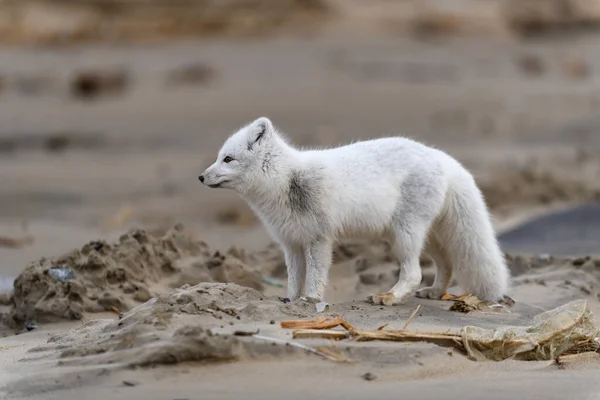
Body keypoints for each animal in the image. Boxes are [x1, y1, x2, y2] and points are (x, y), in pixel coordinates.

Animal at [200, 117, 510, 304]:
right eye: (219, 157)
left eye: (228, 159)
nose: (201, 177)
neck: (286, 181)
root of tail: (441, 157)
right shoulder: (291, 243)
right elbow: (293, 279)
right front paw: (291, 300)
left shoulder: (319, 239)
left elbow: (315, 276)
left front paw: (310, 301)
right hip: (424, 236)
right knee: (446, 263)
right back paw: (435, 292)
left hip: (405, 235)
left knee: (413, 273)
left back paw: (390, 296)